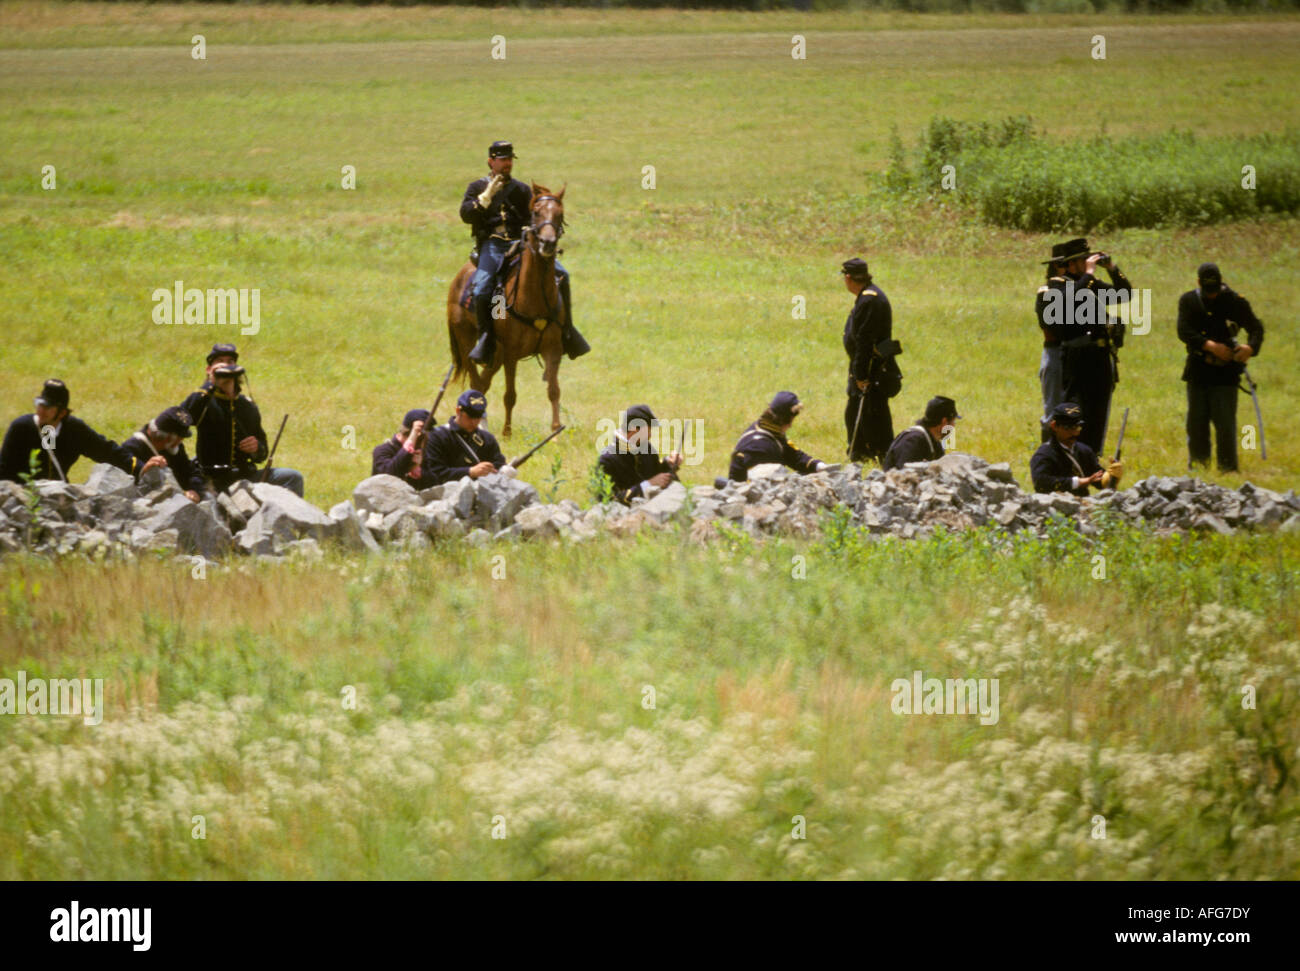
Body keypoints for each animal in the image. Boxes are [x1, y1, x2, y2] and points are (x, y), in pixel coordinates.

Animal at [449, 184, 566, 434]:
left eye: (559, 214)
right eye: (536, 213)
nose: (548, 243)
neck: (533, 297)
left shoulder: (553, 349)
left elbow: (554, 391)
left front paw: (555, 431)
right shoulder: (511, 353)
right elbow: (510, 395)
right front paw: (507, 433)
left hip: (496, 352)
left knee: (483, 383)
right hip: (467, 342)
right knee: (476, 382)